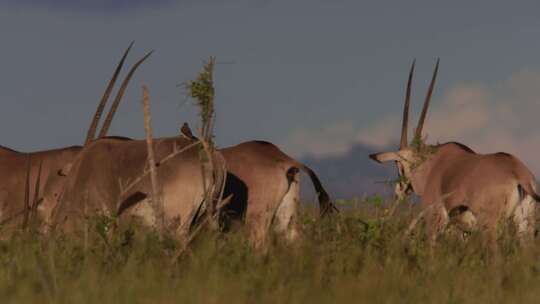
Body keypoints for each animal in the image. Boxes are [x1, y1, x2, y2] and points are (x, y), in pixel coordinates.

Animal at [370, 59, 536, 240]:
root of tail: (519, 174)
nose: (399, 191)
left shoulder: (434, 217)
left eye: (398, 164)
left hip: (489, 225)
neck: (430, 164)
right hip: (523, 226)